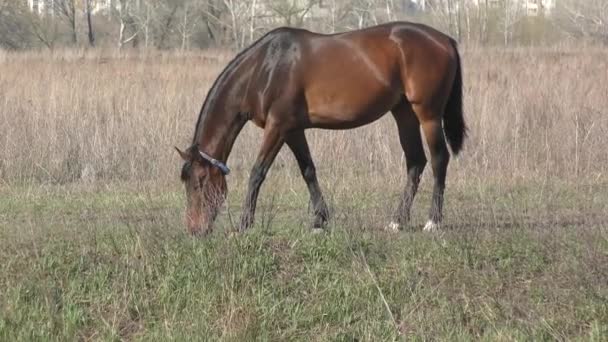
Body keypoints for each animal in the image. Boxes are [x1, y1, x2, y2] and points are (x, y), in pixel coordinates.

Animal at [175, 21, 466, 235]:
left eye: (200, 182)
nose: (194, 229)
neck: (264, 68)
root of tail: (445, 40)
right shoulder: (293, 130)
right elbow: (308, 171)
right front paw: (319, 220)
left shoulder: (277, 126)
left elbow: (258, 172)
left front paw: (245, 224)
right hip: (403, 113)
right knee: (415, 162)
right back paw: (398, 220)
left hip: (428, 114)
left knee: (439, 159)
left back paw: (433, 220)